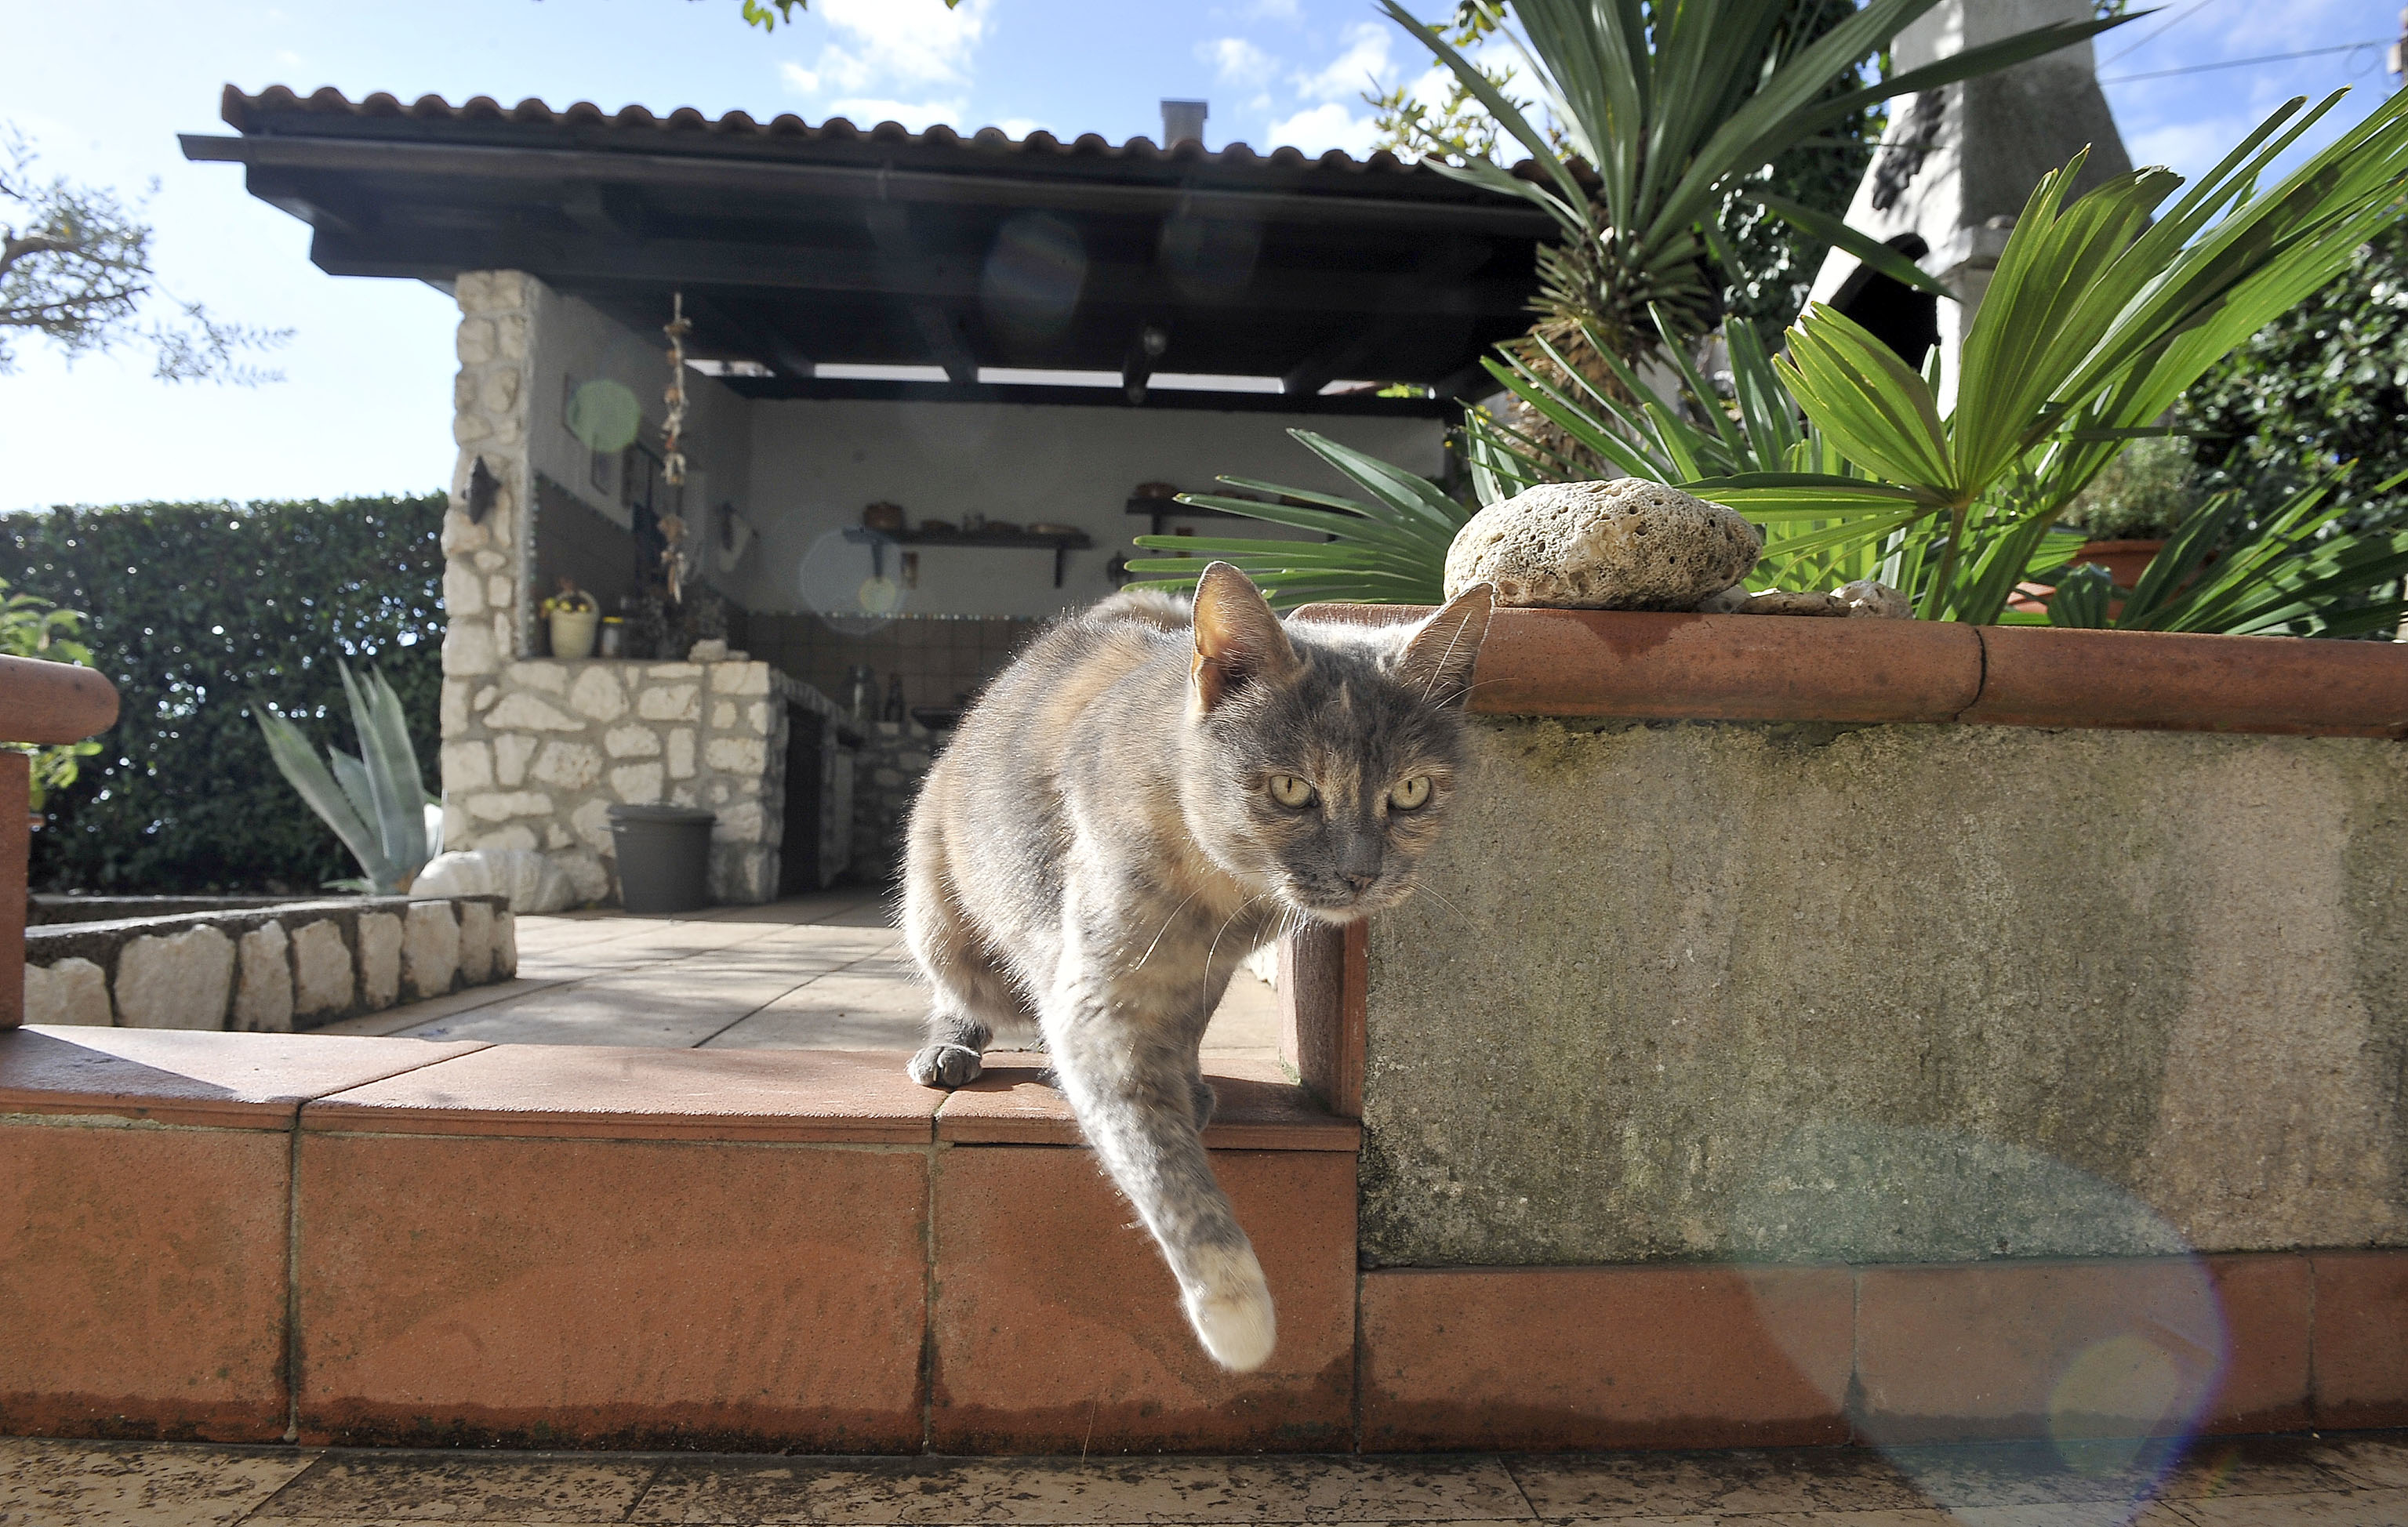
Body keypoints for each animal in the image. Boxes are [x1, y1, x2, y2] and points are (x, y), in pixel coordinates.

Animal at [905, 560, 1493, 1368]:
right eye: (1290, 788)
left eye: (1410, 790)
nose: (1360, 875)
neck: (1224, 894)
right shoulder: (1099, 997)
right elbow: (1154, 1150)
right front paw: (1235, 1311)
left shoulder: (1211, 969)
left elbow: (1188, 1027)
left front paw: (1190, 1083)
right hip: (938, 910)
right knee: (957, 987)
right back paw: (950, 1048)